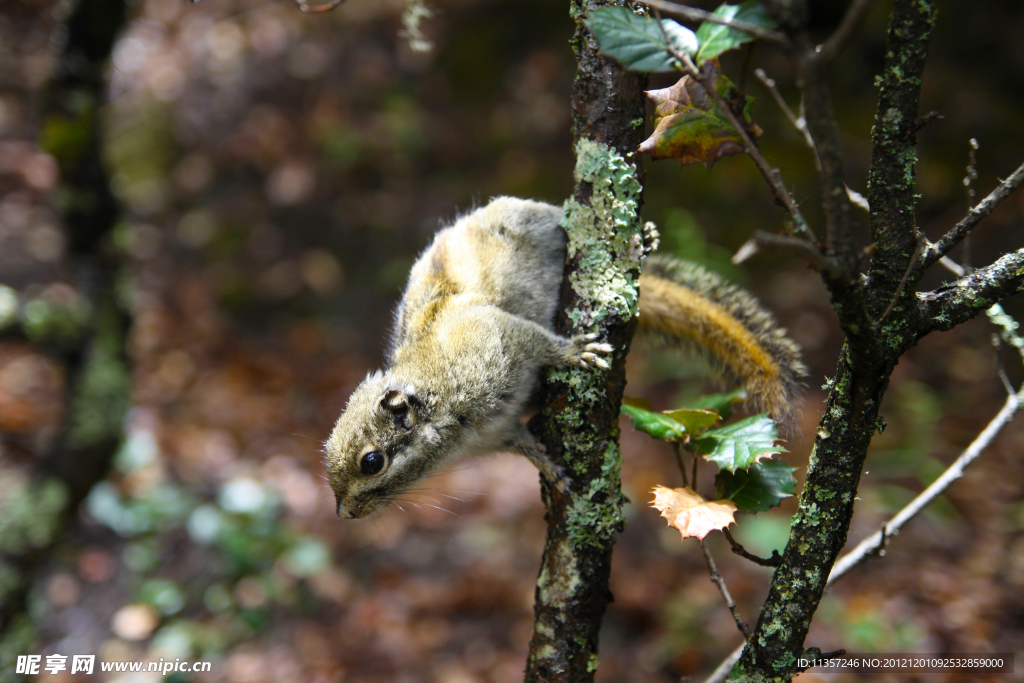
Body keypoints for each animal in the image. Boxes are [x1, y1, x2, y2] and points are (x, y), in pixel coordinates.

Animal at [323, 197, 802, 518]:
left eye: (371, 462)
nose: (344, 514)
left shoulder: (498, 339)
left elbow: (537, 342)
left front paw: (573, 353)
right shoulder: (499, 432)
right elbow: (525, 446)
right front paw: (550, 469)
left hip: (534, 222)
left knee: (560, 220)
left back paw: (641, 240)